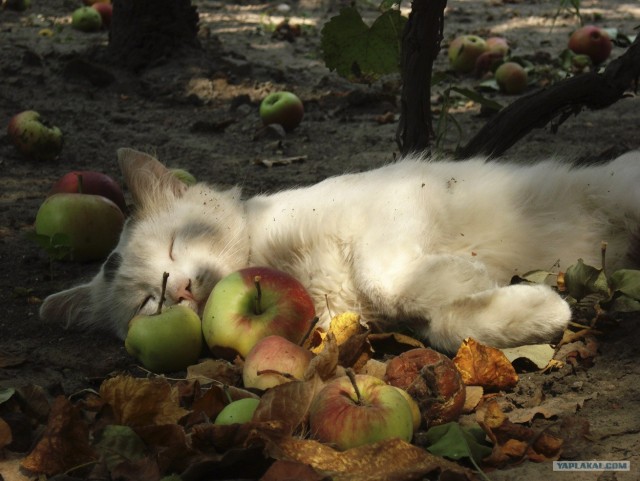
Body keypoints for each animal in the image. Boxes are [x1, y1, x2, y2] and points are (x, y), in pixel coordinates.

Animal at [40, 148, 640, 350]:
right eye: (150, 302)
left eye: (173, 244)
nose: (182, 287)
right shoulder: (388, 318)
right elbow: (448, 327)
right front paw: (536, 310)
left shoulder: (399, 202)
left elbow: (386, 276)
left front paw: (464, 274)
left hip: (621, 187)